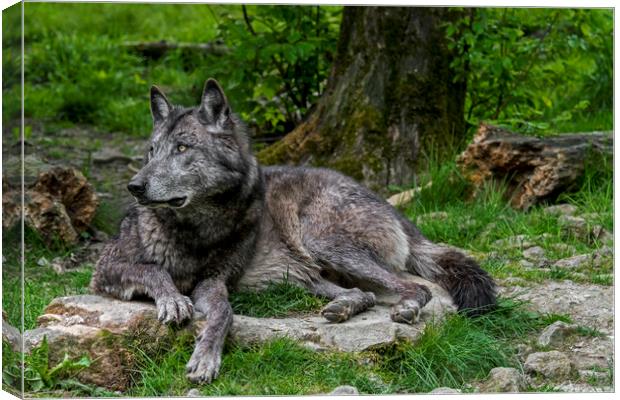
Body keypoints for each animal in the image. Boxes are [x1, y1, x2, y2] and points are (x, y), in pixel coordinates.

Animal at [89, 79, 496, 384]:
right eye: (151, 151)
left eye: (182, 148)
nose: (134, 187)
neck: (195, 229)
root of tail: (393, 208)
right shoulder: (105, 268)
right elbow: (154, 271)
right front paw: (173, 299)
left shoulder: (214, 282)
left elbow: (224, 314)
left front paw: (205, 358)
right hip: (303, 275)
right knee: (363, 293)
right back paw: (344, 307)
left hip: (323, 244)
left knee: (414, 287)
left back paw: (406, 306)